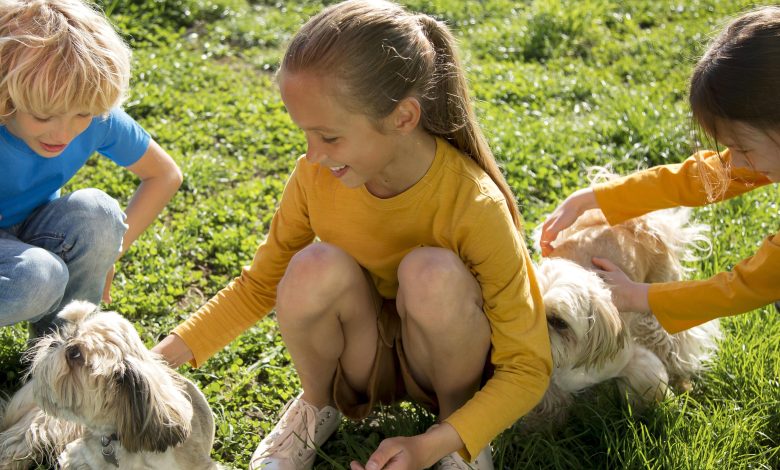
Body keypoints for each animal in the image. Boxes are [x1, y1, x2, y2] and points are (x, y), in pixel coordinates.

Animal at [528, 207, 724, 428]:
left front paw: (649, 414)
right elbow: (550, 404)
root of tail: (635, 225)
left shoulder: (635, 362)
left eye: (560, 322)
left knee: (676, 347)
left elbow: (647, 386)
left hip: (657, 315)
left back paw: (683, 382)